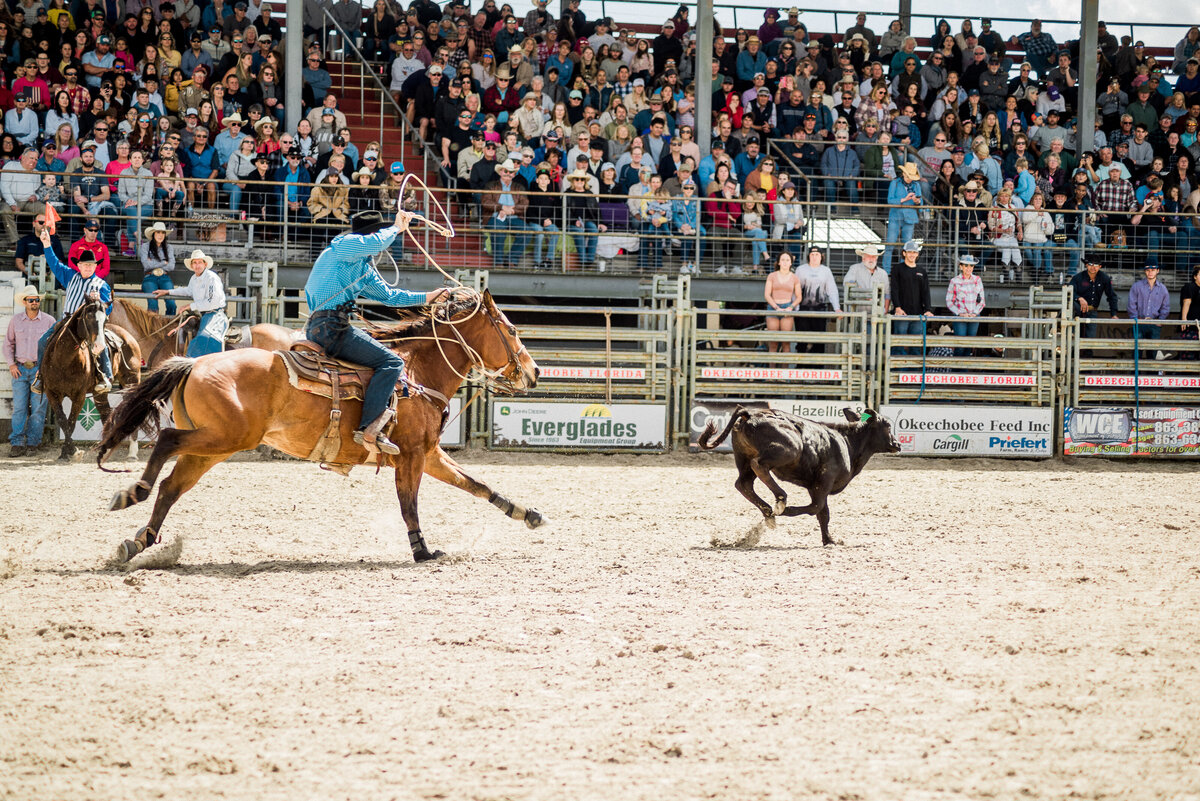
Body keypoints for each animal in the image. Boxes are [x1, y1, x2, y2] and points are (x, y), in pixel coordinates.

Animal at [43, 299, 141, 460]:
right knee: (105, 413)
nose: (99, 346)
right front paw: (66, 452)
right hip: (100, 392)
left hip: (131, 380)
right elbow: (63, 421)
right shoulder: (52, 393)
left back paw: (132, 452)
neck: (63, 360)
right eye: (88, 317)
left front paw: (72, 451)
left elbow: (71, 422)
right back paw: (106, 448)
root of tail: (128, 336)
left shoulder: (79, 395)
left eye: (105, 320)